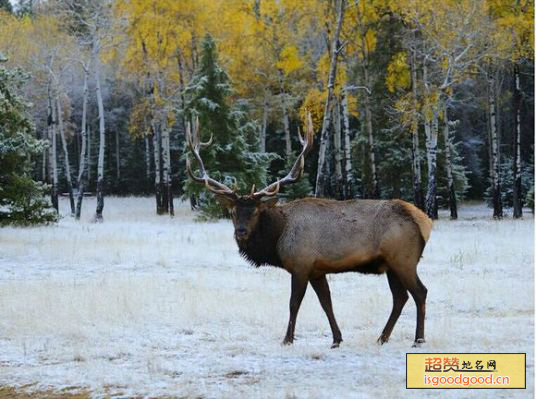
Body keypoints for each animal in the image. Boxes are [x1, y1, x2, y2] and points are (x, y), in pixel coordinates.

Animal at [187, 115, 432, 346]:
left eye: (256, 211)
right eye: (233, 212)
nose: (241, 232)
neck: (277, 239)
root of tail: (424, 221)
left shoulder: (301, 265)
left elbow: (294, 303)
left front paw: (287, 339)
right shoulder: (317, 270)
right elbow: (326, 303)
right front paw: (336, 339)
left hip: (404, 259)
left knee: (420, 292)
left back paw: (418, 339)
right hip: (390, 264)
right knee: (400, 297)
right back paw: (382, 338)